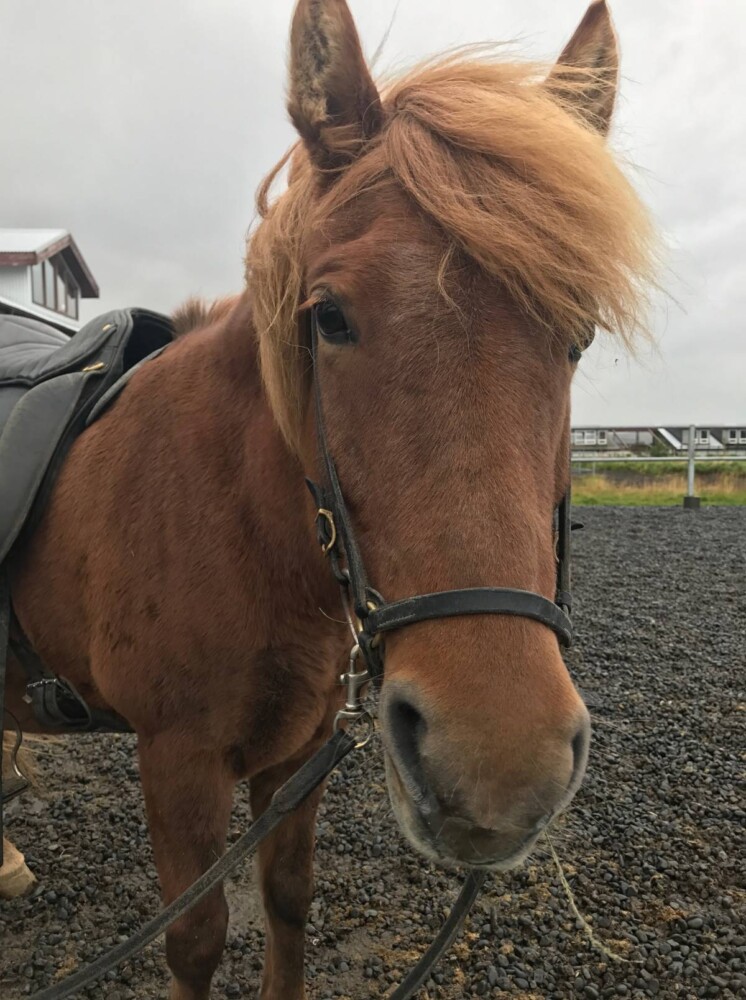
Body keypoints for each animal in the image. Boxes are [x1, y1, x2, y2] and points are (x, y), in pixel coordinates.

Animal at [4, 0, 655, 996]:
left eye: (578, 335)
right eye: (330, 316)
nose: (499, 765)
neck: (239, 522)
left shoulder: (301, 751)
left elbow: (288, 901)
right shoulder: (178, 760)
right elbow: (195, 941)